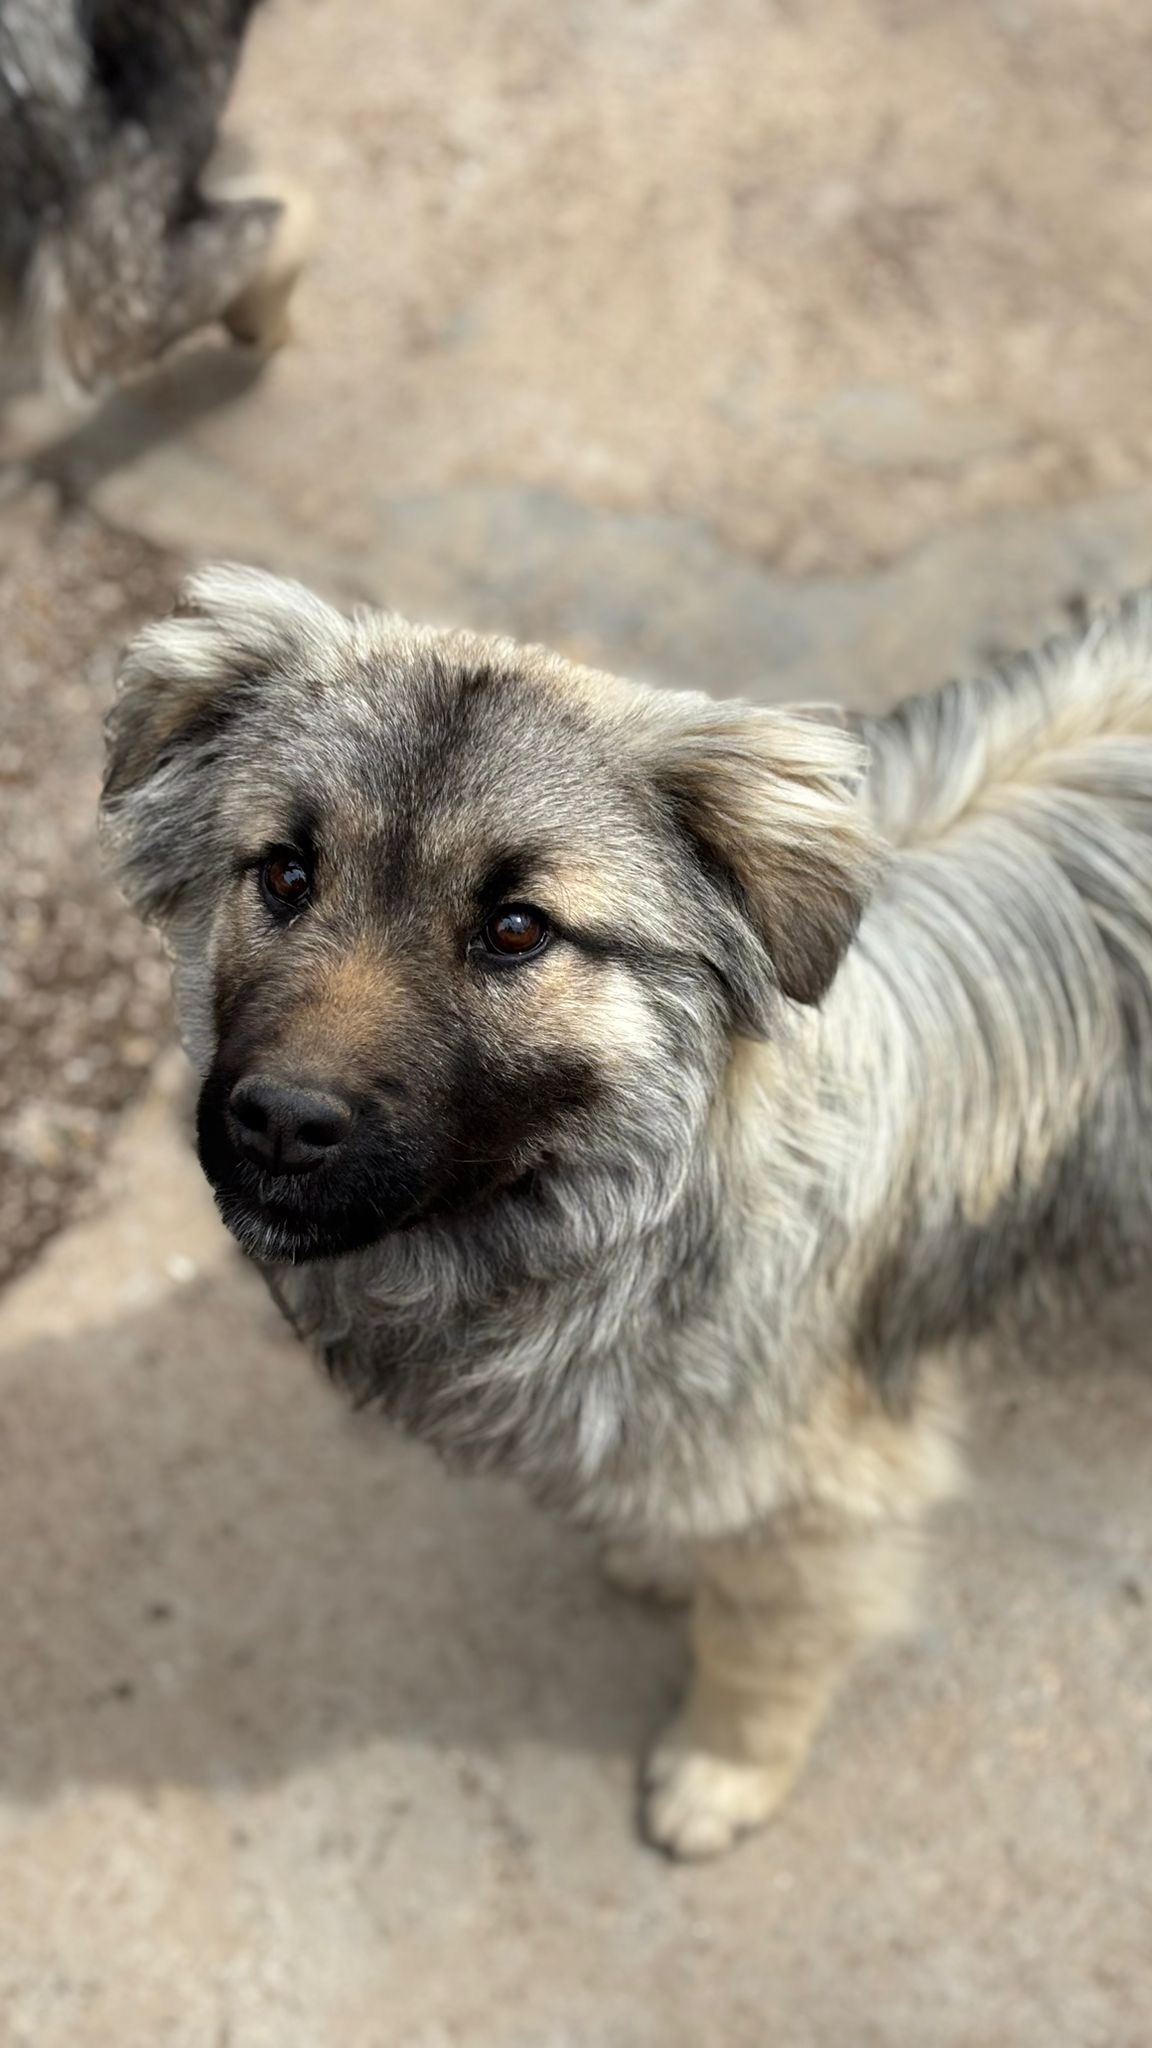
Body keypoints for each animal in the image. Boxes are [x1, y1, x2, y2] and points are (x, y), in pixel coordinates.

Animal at [100, 565, 1152, 1858]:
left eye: (517, 926)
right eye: (286, 874)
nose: (281, 1122)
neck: (655, 1190)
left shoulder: (833, 1488)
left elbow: (762, 1643)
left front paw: (724, 1769)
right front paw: (664, 1553)